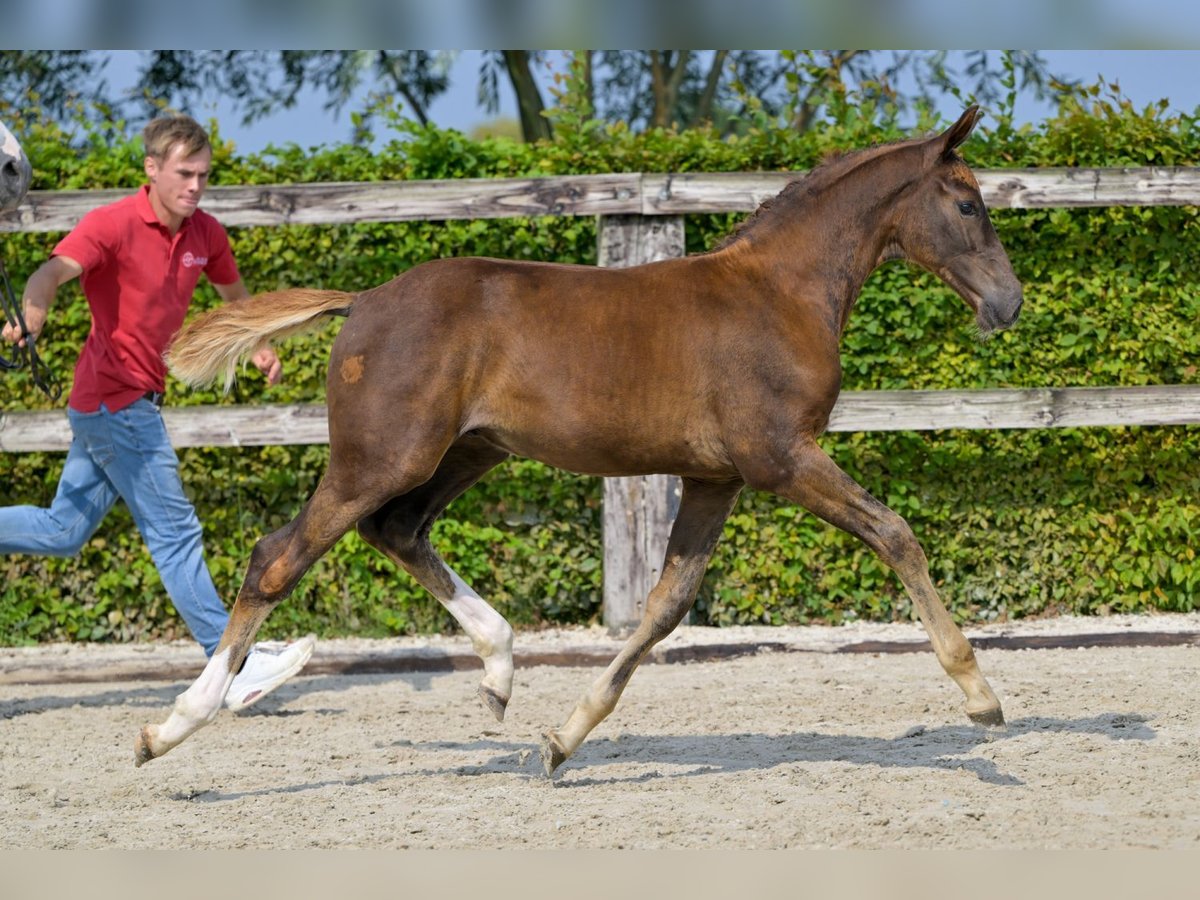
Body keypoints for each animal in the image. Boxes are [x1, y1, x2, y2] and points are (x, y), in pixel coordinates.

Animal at [138, 109, 1022, 777]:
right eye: (968, 204)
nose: (1009, 304)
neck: (780, 292)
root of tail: (363, 300)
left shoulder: (716, 479)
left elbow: (665, 607)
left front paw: (562, 739)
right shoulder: (780, 458)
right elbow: (895, 533)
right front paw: (981, 696)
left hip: (468, 450)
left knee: (397, 530)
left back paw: (499, 671)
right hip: (382, 457)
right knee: (278, 556)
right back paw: (170, 726)